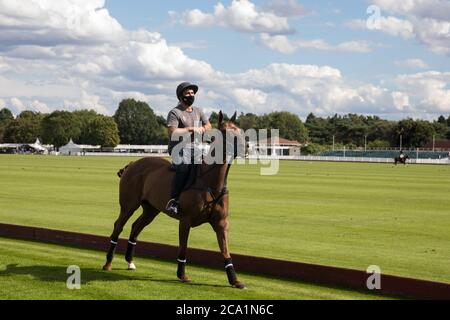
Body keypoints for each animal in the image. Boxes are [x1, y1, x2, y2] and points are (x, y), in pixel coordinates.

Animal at [102, 112, 246, 290]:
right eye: (225, 131)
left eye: (239, 129)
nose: (245, 147)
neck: (210, 183)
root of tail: (132, 164)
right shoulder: (185, 220)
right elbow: (183, 248)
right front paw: (182, 275)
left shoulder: (221, 223)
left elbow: (225, 250)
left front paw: (235, 280)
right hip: (129, 204)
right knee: (119, 225)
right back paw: (108, 263)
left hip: (151, 209)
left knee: (136, 227)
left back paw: (130, 262)